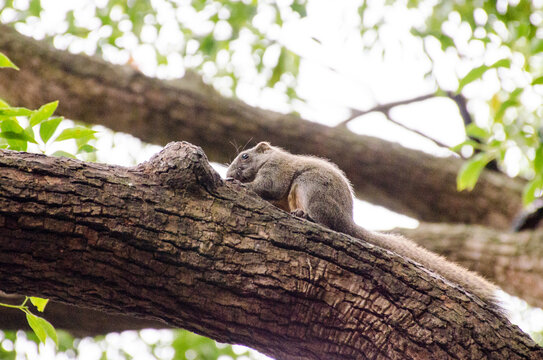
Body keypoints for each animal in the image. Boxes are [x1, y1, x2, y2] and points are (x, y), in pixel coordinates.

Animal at [227, 142, 500, 308]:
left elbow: (268, 187)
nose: (230, 172)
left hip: (311, 187)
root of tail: (347, 223)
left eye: (245, 155)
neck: (270, 159)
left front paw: (238, 184)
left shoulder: (276, 170)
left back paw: (305, 216)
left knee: (324, 221)